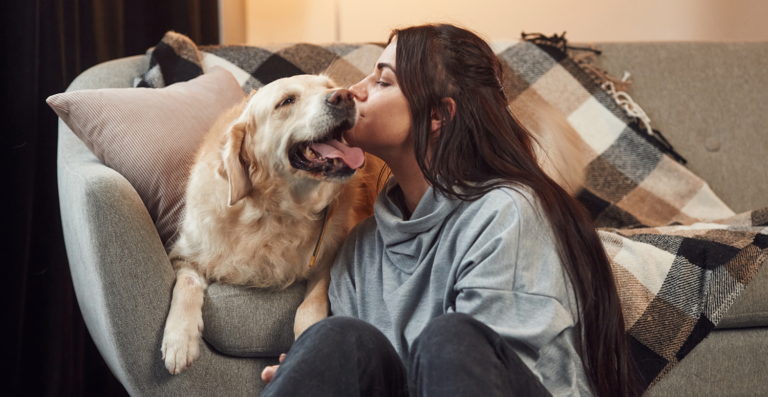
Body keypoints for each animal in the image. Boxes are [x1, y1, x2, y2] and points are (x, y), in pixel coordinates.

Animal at [160, 74, 382, 374]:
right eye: (286, 101)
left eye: (329, 86)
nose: (345, 96)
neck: (274, 212)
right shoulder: (185, 254)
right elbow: (186, 284)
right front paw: (179, 339)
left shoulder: (329, 258)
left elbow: (309, 308)